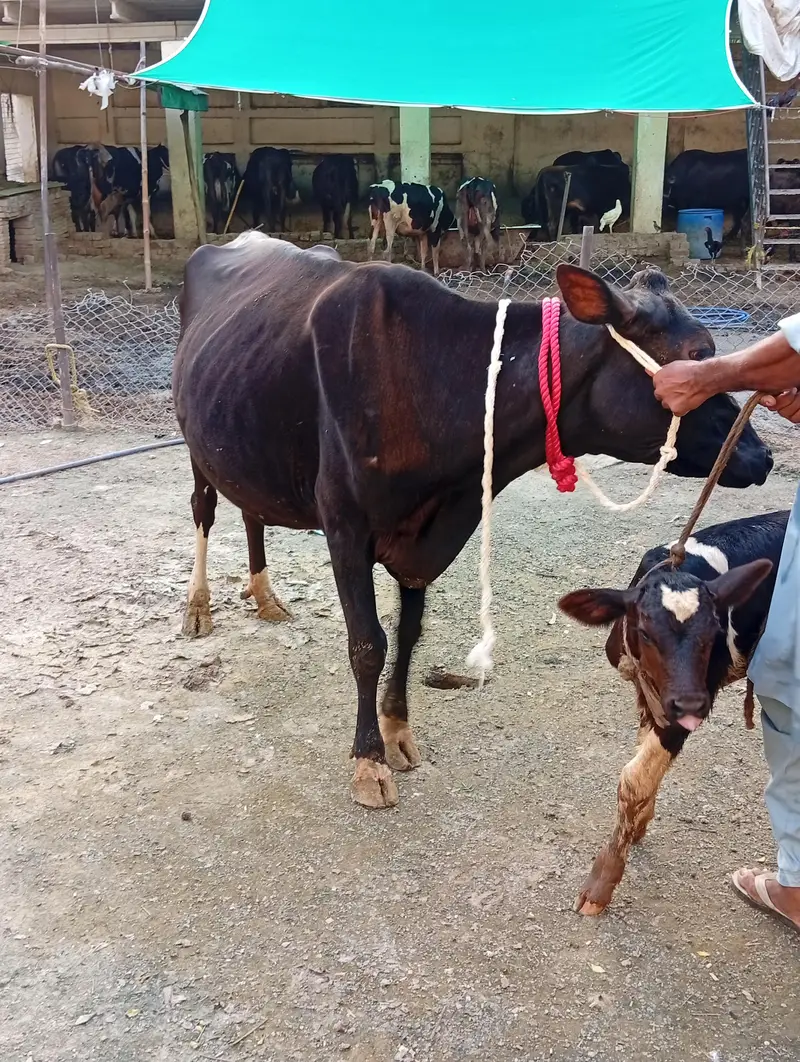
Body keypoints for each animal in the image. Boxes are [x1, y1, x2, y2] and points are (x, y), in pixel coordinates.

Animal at [173, 237, 772, 810]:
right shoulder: (344, 524)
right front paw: (369, 761)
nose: (761, 454)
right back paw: (198, 607)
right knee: (204, 508)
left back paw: (264, 596)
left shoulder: (421, 536)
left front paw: (397, 730)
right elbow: (367, 644)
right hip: (199, 444)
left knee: (250, 509)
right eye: (700, 354)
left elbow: (409, 633)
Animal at [559, 510, 788, 915]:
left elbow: (634, 778)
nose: (691, 703)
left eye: (715, 631)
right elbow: (645, 759)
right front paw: (639, 825)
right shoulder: (649, 695)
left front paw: (602, 882)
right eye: (645, 632)